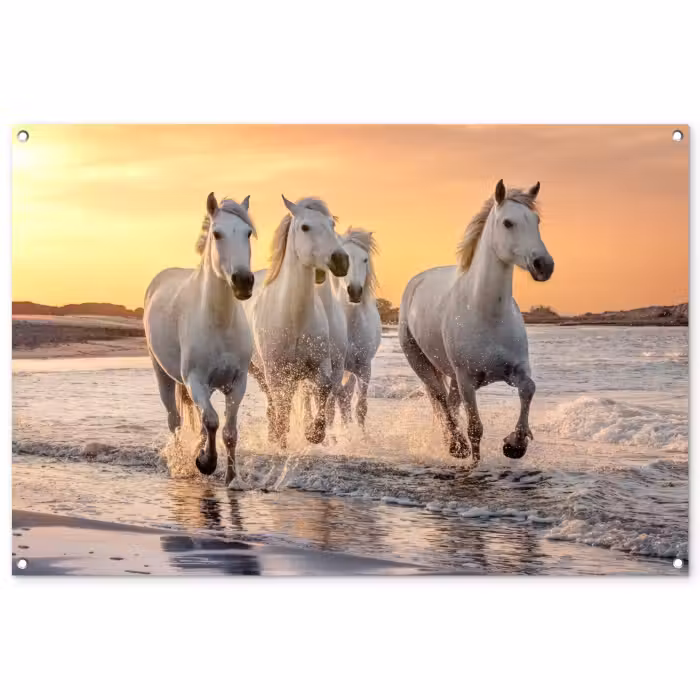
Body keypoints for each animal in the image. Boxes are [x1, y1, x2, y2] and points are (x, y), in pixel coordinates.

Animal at [144, 193, 256, 486]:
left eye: (248, 233)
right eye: (217, 234)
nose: (243, 281)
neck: (219, 322)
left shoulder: (237, 383)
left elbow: (228, 431)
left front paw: (231, 478)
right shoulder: (195, 380)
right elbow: (213, 421)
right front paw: (206, 463)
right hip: (163, 375)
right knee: (175, 421)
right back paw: (182, 462)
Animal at [244, 196, 349, 448]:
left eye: (332, 224)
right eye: (305, 227)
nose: (341, 260)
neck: (295, 318)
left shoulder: (320, 365)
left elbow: (323, 388)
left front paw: (314, 433)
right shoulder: (275, 371)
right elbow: (281, 406)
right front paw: (281, 438)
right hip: (258, 370)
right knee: (273, 402)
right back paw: (274, 435)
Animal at [398, 180, 554, 464]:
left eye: (536, 220)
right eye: (508, 223)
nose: (544, 265)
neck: (487, 314)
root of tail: (417, 281)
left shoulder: (515, 369)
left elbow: (529, 389)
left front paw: (515, 444)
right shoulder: (467, 380)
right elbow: (475, 429)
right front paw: (476, 461)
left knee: (449, 403)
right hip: (421, 362)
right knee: (440, 400)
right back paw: (456, 445)